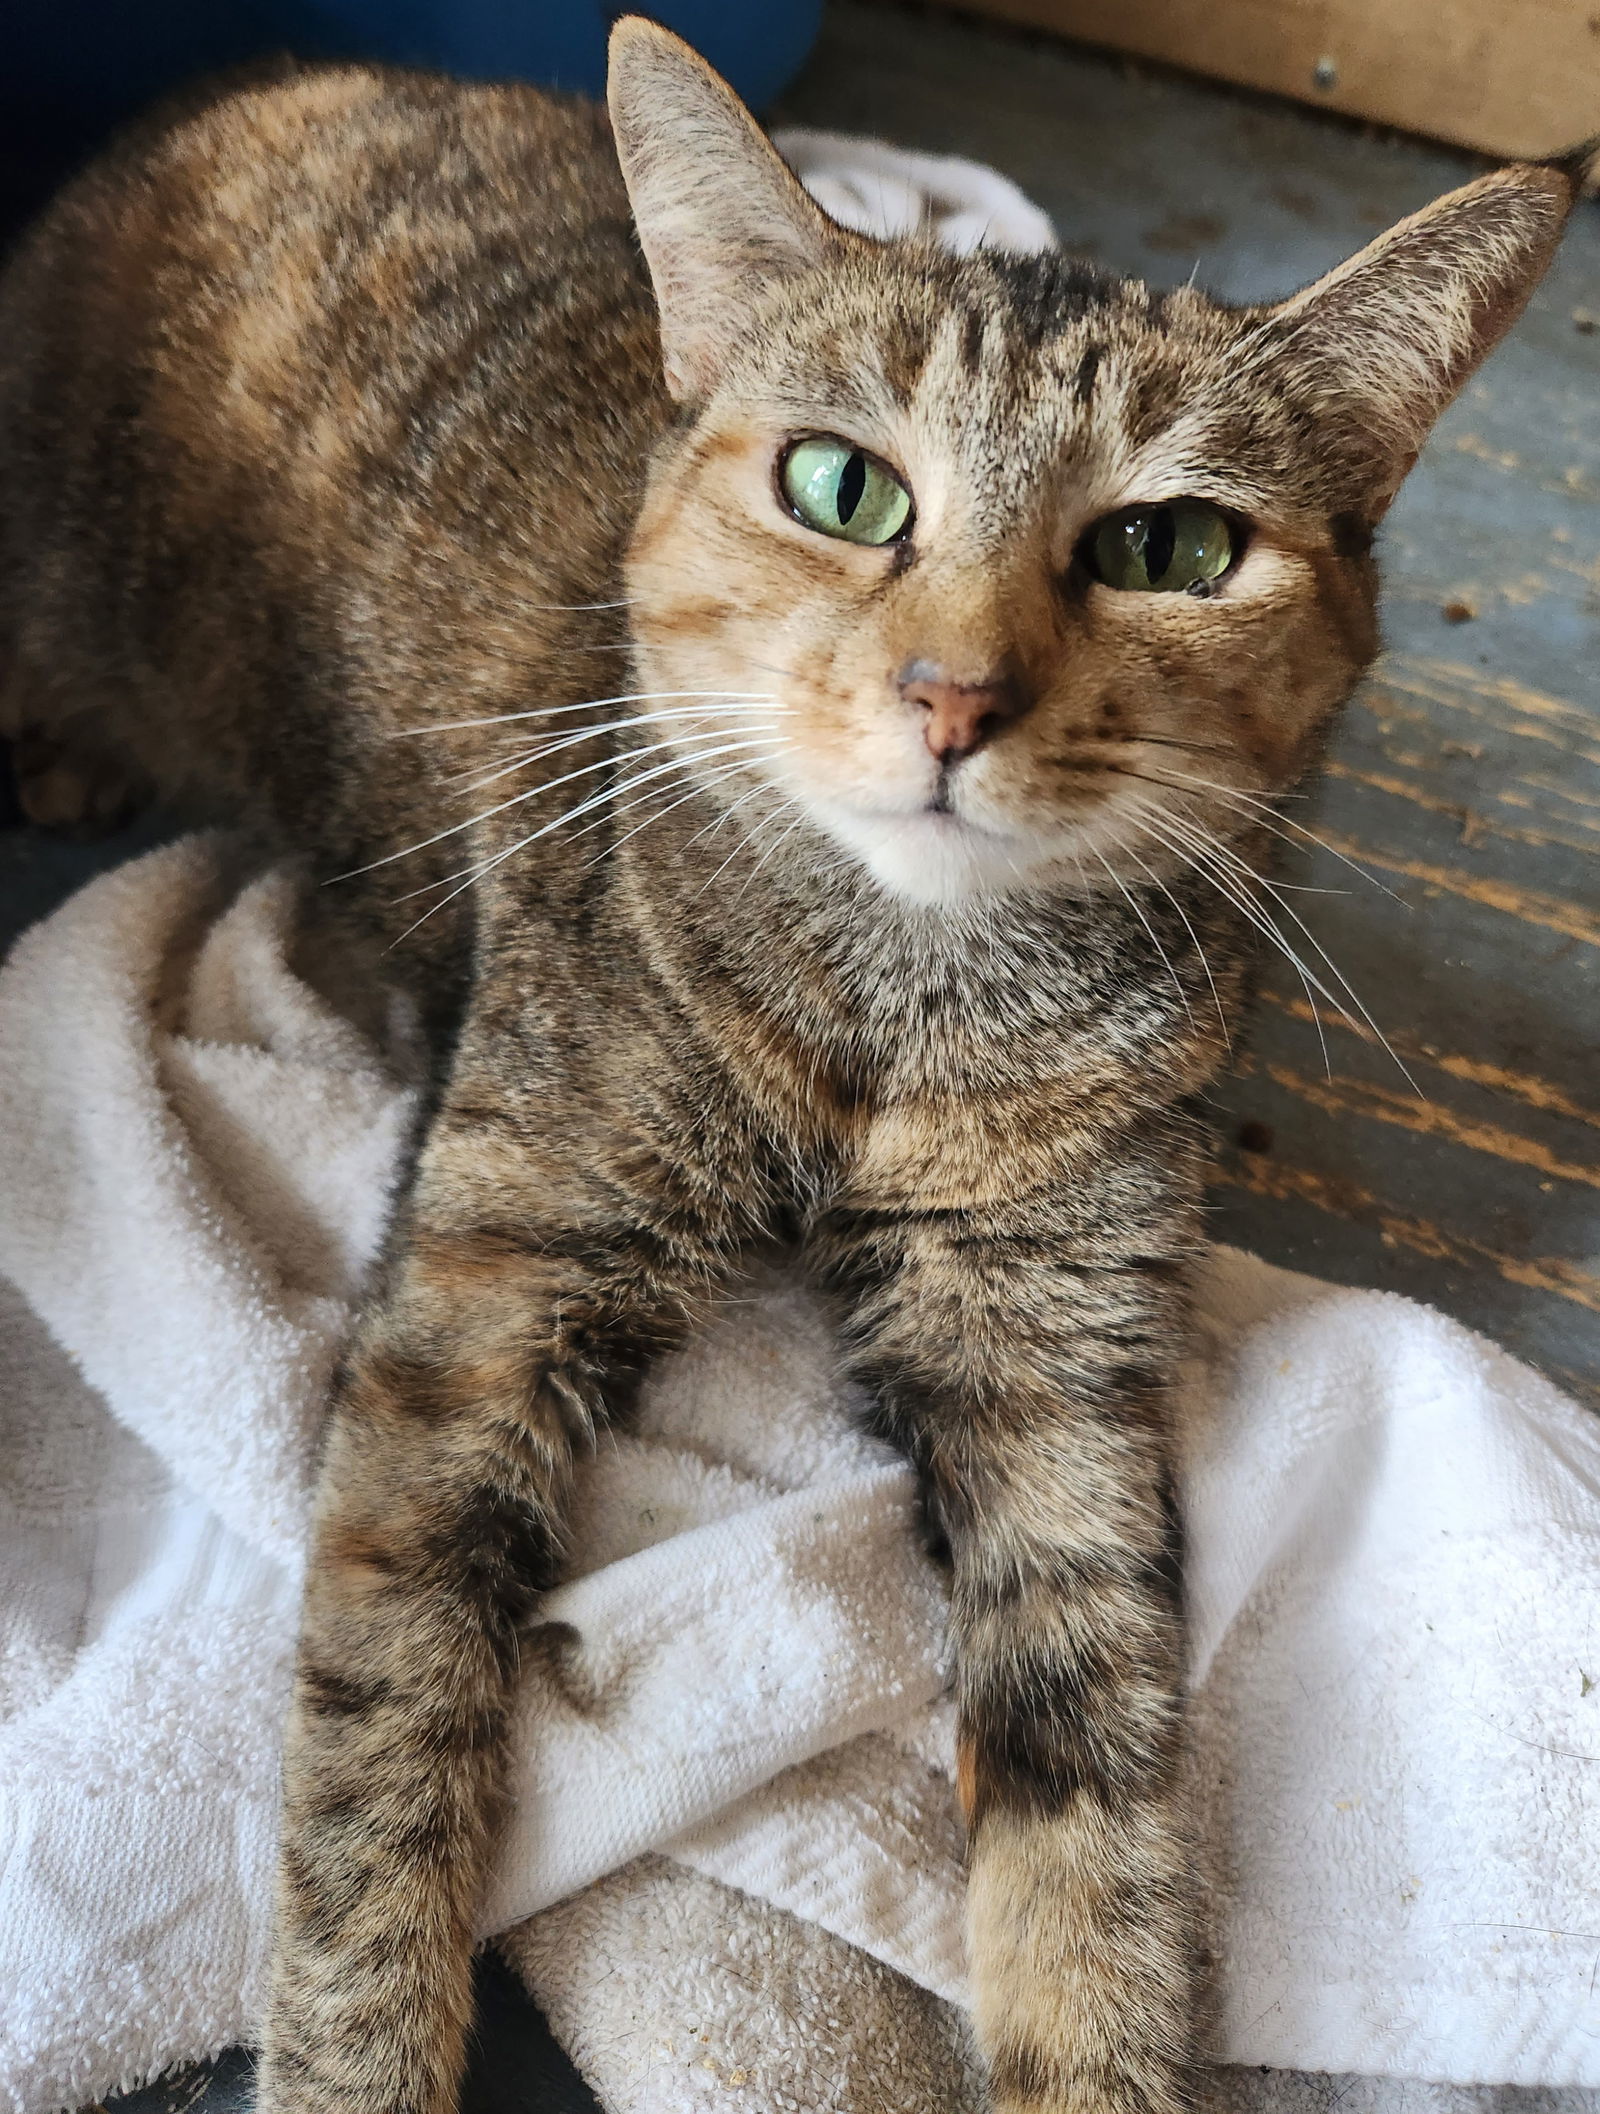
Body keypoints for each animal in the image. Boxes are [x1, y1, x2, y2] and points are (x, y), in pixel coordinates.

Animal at [0, 20, 1572, 2114]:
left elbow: (1098, 1813)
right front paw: (360, 2059)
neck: (889, 1002)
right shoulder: (478, 1297)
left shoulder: (1052, 1358)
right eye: (844, 486)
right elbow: (380, 1728)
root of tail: (246, 83)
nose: (955, 695)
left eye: (1171, 545)